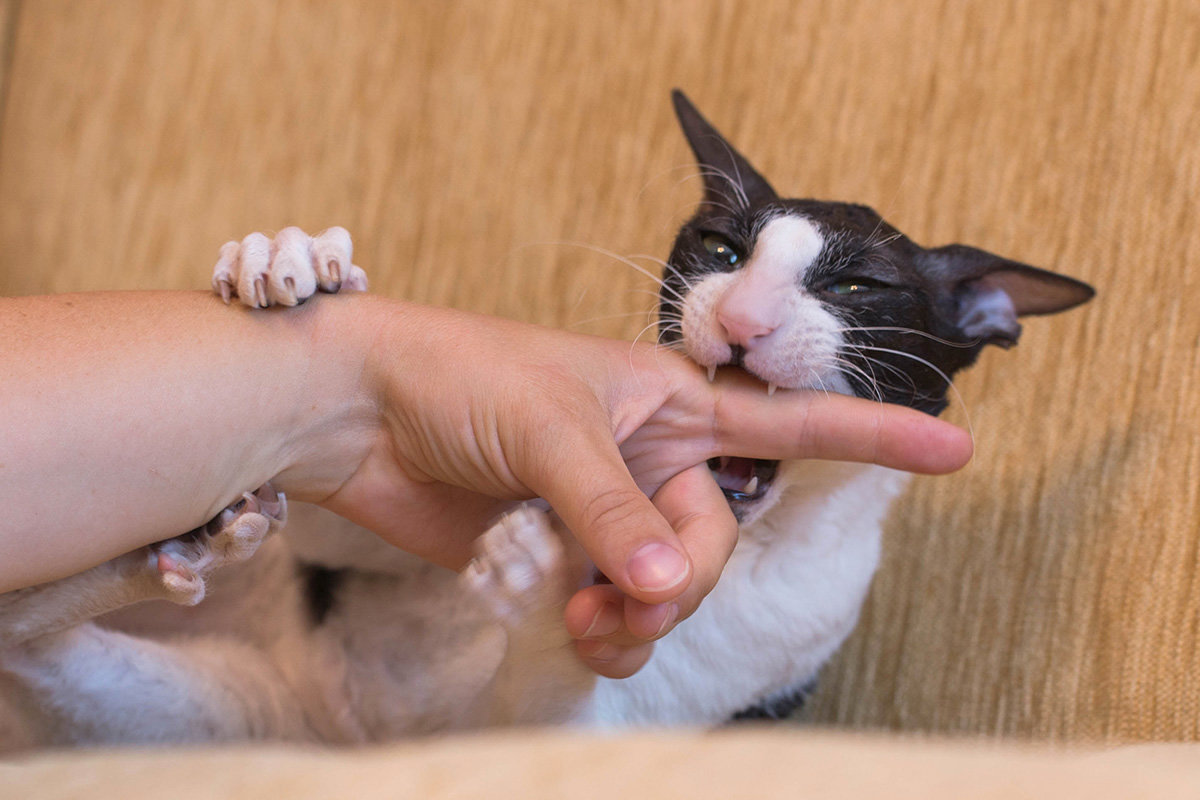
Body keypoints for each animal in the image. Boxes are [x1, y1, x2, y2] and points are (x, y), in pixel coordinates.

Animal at [0, 90, 1094, 748]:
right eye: (721, 250)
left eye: (858, 286)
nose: (741, 319)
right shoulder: (368, 531)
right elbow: (345, 487)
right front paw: (299, 257)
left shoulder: (582, 731)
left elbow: (544, 695)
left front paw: (540, 592)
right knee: (31, 631)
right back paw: (188, 545)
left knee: (31, 646)